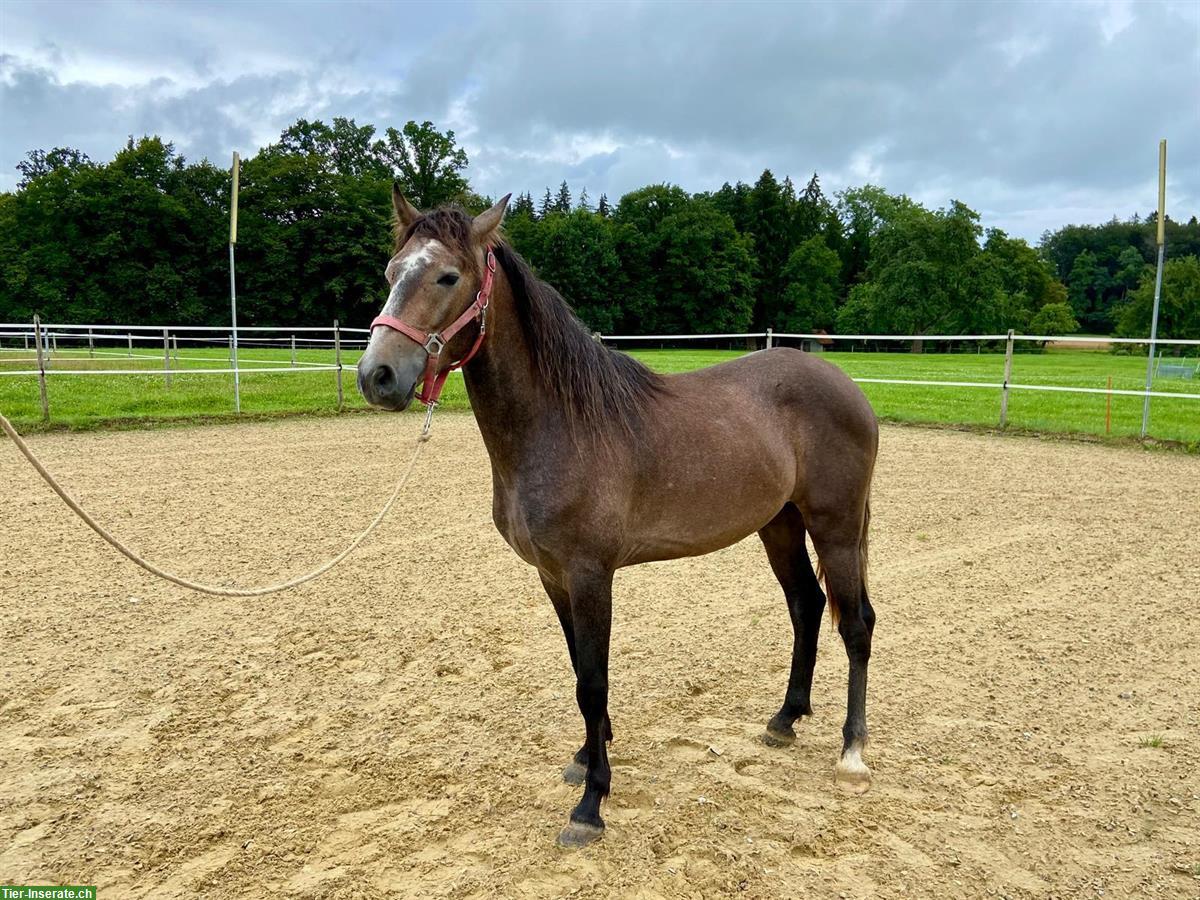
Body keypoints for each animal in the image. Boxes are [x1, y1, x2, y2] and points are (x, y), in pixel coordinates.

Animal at [357, 188, 883, 844]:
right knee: (806, 606)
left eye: (447, 276)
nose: (376, 376)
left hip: (835, 526)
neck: (561, 424)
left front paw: (591, 803)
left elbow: (593, 681)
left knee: (855, 624)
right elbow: (579, 670)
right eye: (390, 273)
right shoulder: (553, 576)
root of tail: (845, 383)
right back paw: (785, 718)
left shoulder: (591, 575)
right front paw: (587, 757)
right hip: (779, 525)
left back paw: (852, 753)